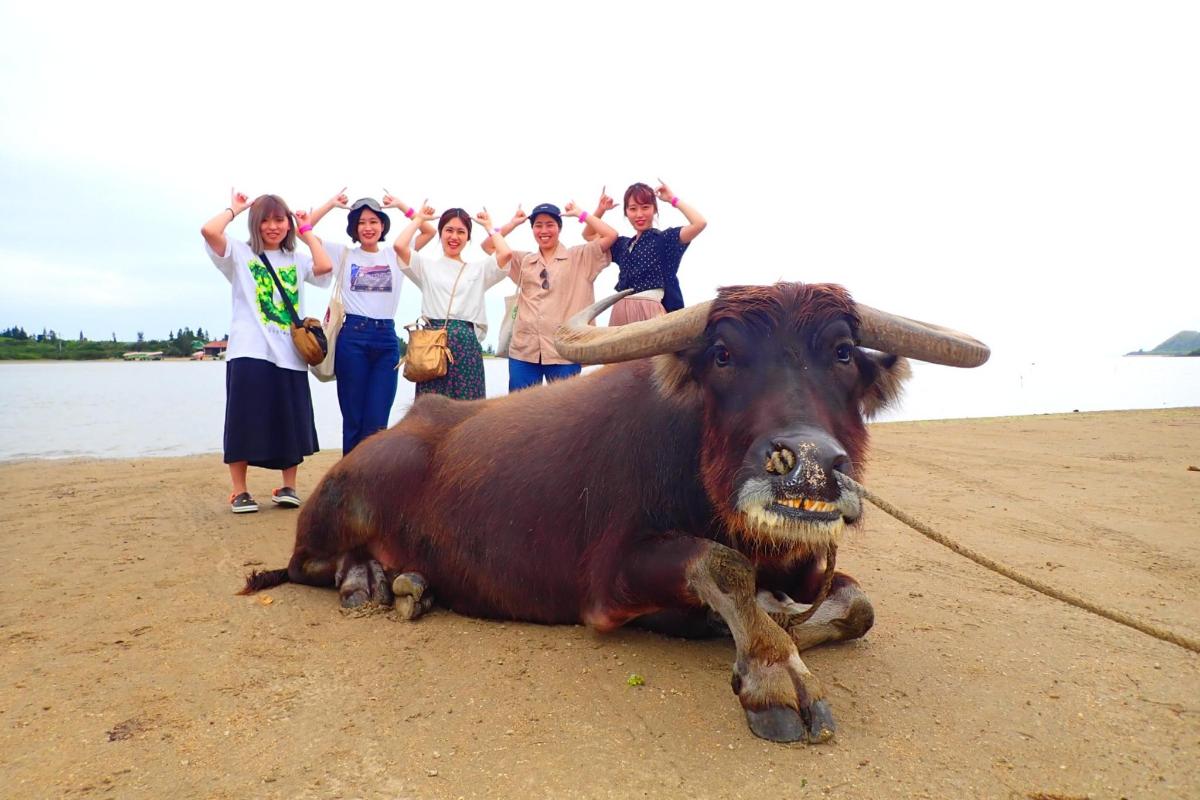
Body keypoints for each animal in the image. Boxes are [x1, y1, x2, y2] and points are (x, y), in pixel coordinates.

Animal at [241, 283, 984, 743]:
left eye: (842, 353)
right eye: (723, 354)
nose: (807, 463)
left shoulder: (806, 564)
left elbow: (857, 606)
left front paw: (777, 627)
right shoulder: (608, 581)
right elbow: (724, 565)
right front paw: (776, 672)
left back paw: (410, 583)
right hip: (348, 496)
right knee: (304, 564)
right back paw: (368, 581)